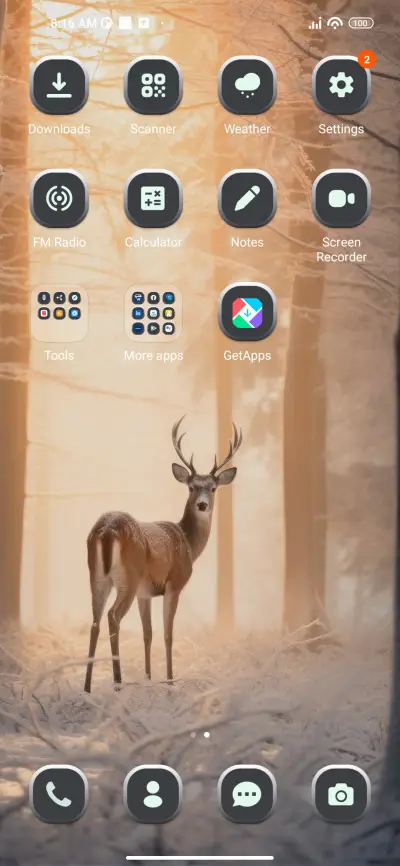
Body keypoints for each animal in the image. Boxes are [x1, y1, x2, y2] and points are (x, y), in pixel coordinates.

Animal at [83, 417, 242, 693]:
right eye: (191, 487)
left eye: (213, 488)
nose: (202, 505)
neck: (188, 542)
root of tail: (106, 531)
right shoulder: (174, 584)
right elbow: (168, 634)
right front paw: (169, 682)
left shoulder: (145, 593)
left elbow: (148, 633)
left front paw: (148, 678)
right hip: (128, 577)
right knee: (113, 617)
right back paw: (117, 682)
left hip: (97, 575)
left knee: (94, 621)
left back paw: (87, 687)